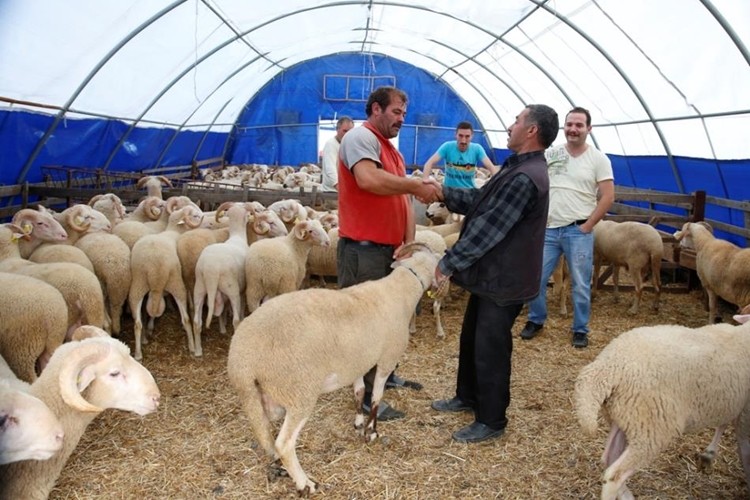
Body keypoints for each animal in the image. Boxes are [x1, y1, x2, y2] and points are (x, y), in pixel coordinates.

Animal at [229, 243, 440, 496]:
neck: (403, 288)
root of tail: (241, 359)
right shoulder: (387, 358)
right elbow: (376, 396)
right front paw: (372, 431)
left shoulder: (357, 360)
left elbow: (359, 391)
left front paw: (358, 424)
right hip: (298, 392)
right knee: (284, 443)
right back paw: (305, 483)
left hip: (260, 396)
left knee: (269, 438)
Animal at [576, 308, 750, 500]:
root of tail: (609, 366)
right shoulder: (744, 410)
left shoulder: (733, 399)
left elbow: (724, 422)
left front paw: (708, 455)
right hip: (651, 429)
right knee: (615, 475)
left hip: (627, 417)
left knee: (609, 458)